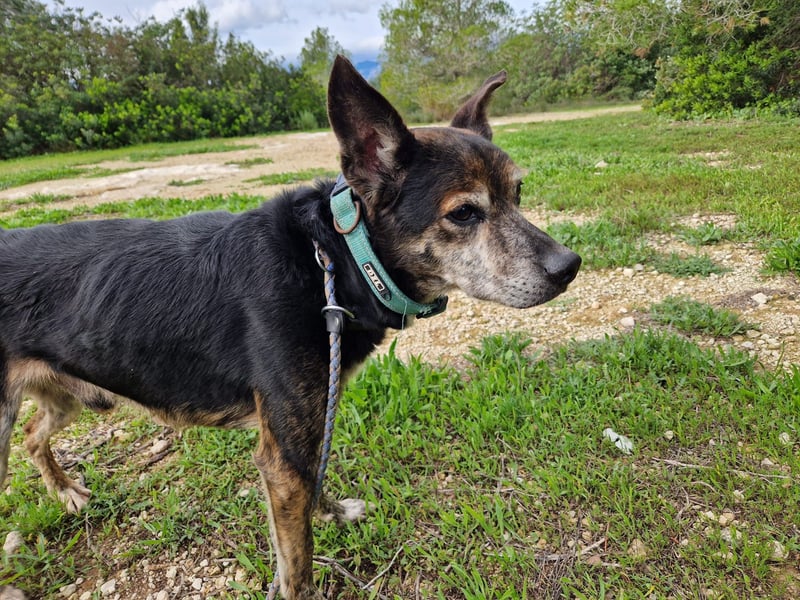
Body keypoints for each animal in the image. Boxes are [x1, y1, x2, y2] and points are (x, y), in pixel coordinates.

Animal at [0, 56, 580, 598]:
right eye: (463, 214)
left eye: (518, 194)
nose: (569, 266)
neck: (335, 258)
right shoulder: (281, 455)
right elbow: (296, 560)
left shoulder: (309, 428)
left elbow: (314, 488)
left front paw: (331, 513)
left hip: (69, 396)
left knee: (33, 436)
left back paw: (66, 491)